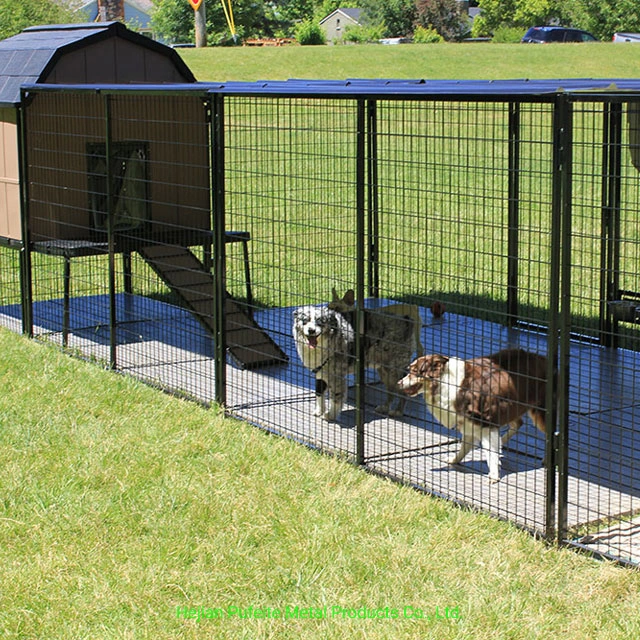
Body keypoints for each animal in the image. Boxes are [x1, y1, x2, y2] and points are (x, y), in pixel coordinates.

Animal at [398, 350, 548, 480]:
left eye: (415, 371)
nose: (399, 383)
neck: (444, 382)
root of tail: (543, 358)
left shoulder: (486, 423)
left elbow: (490, 452)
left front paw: (494, 476)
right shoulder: (469, 424)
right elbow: (464, 448)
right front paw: (454, 460)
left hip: (538, 413)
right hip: (510, 408)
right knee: (518, 423)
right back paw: (503, 441)